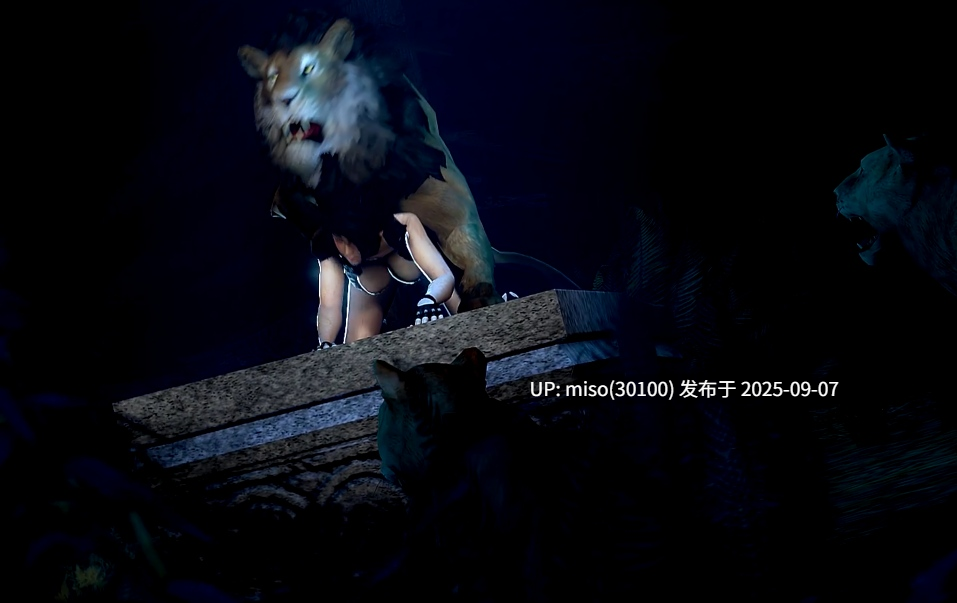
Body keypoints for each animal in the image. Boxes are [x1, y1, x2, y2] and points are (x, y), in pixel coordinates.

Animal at [238, 11, 577, 311]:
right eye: (272, 77)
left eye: (309, 69)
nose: (285, 101)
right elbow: (300, 204)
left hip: (455, 226)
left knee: (468, 257)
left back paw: (481, 295)